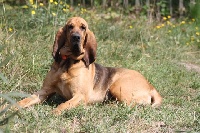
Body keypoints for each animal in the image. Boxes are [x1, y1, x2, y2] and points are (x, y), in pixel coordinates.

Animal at [17, 16, 162, 114]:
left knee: (127, 105)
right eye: (70, 27)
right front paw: (11, 107)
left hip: (117, 85)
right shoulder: (43, 91)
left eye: (83, 27)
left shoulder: (79, 95)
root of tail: (152, 87)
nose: (76, 37)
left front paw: (54, 113)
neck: (68, 62)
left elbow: (63, 105)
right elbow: (24, 101)